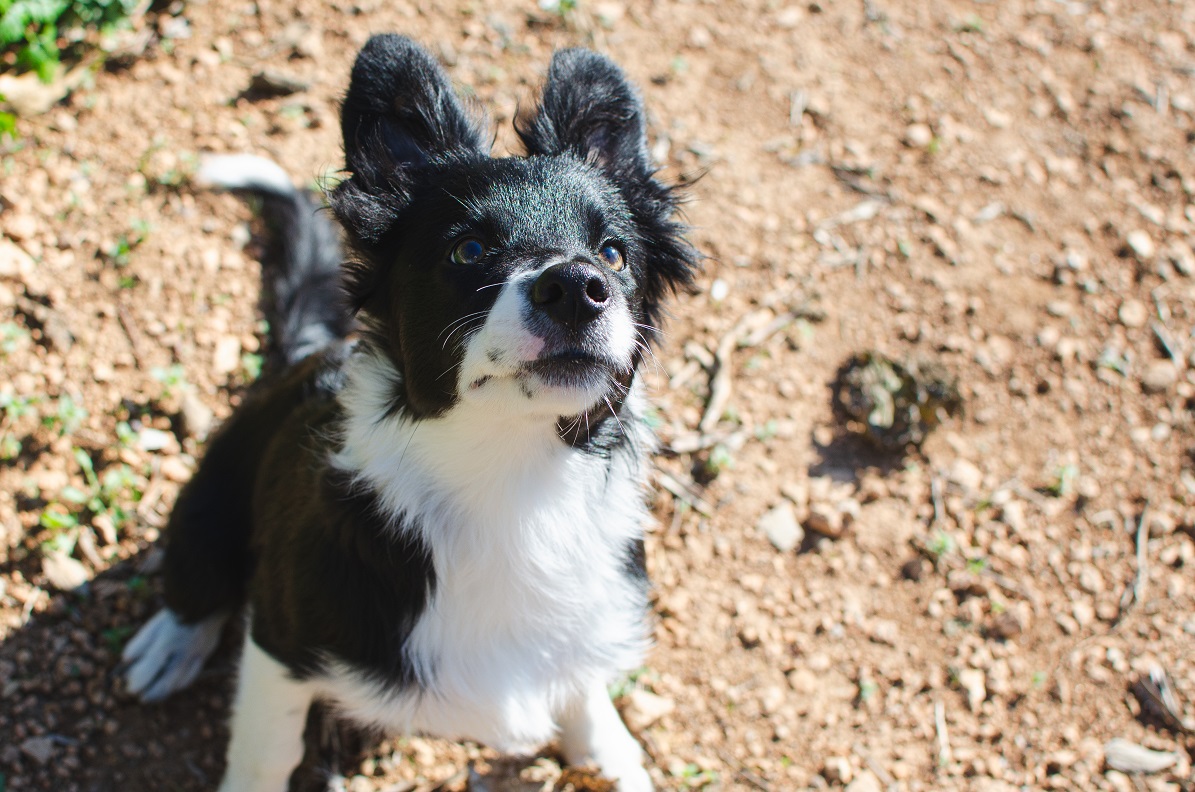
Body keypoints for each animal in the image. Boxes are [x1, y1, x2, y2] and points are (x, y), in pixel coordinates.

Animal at [117, 32, 697, 792]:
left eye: (613, 253)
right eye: (468, 249)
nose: (577, 286)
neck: (513, 486)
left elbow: (582, 684)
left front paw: (607, 745)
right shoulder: (280, 639)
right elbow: (266, 753)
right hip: (209, 500)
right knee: (197, 576)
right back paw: (170, 641)